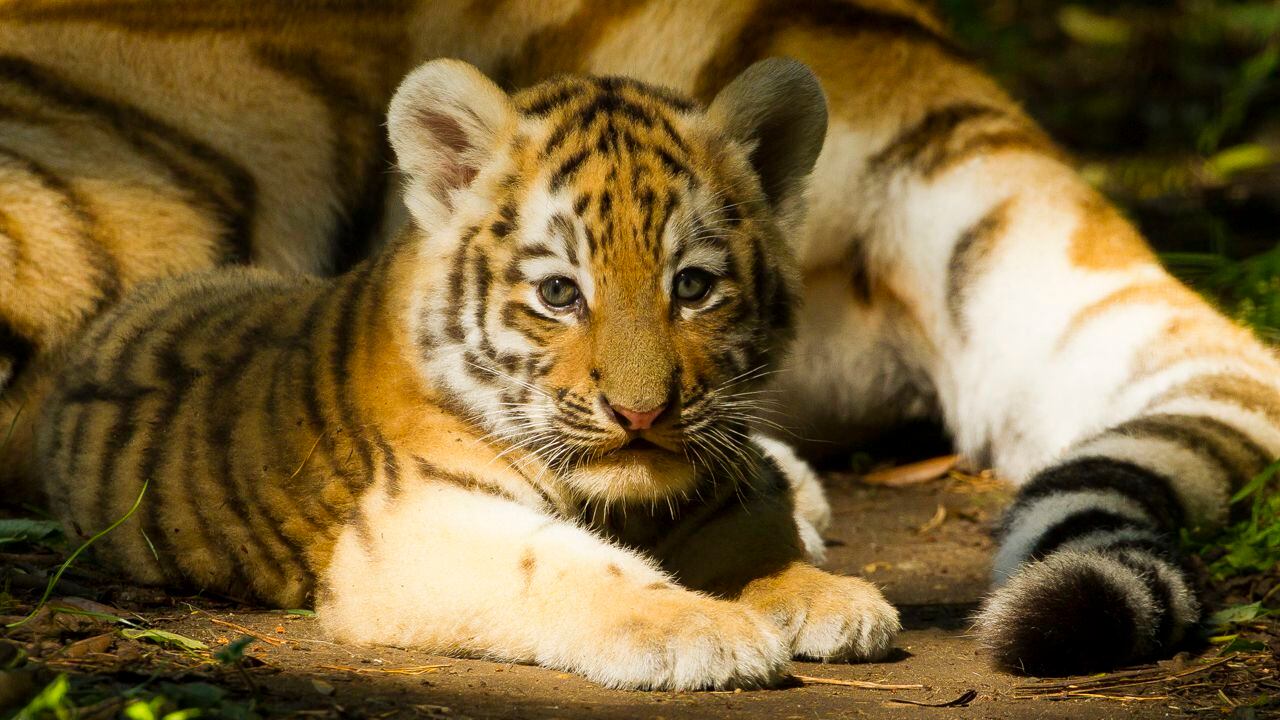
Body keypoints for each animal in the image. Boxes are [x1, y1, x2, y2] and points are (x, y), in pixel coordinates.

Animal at [2, 1, 1280, 671]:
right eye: (559, 293)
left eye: (694, 286)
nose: (639, 410)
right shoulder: (416, 530)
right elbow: (561, 566)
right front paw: (703, 633)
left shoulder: (710, 476)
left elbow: (747, 524)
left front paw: (821, 596)